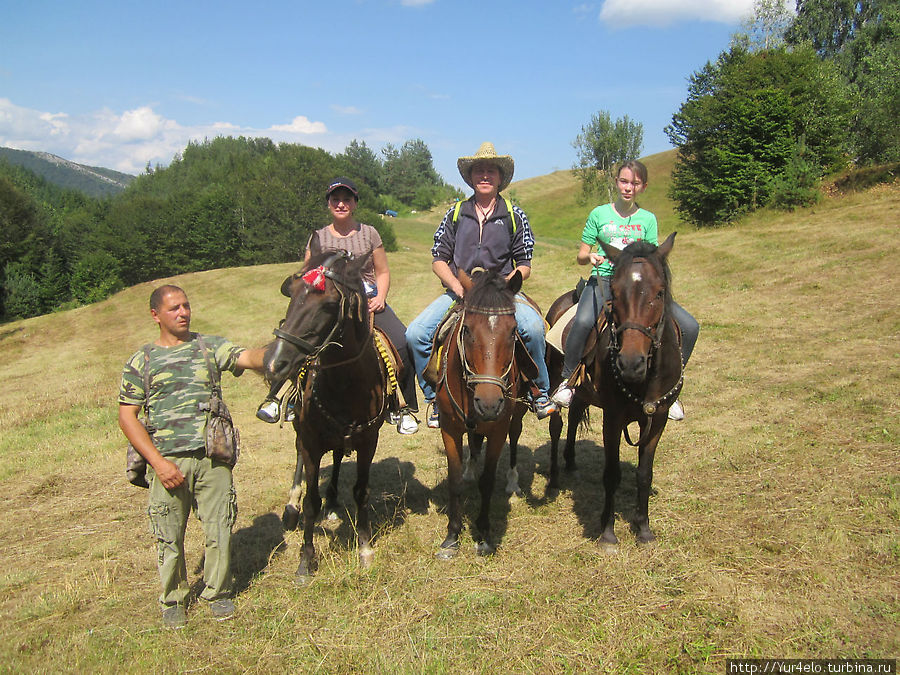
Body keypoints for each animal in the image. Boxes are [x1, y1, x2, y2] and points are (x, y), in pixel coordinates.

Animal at [260, 251, 386, 584]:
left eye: (329, 304)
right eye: (290, 293)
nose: (274, 363)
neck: (345, 384)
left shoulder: (368, 441)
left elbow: (361, 491)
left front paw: (365, 548)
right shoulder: (311, 443)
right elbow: (310, 501)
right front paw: (306, 560)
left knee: (339, 455)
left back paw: (332, 502)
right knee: (299, 464)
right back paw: (291, 507)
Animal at [432, 270, 532, 560]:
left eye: (513, 332)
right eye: (466, 330)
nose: (489, 404)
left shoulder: (498, 430)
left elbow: (487, 480)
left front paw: (484, 535)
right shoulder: (449, 429)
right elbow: (454, 480)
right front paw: (451, 537)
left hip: (516, 415)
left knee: (514, 437)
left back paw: (513, 482)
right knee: (474, 440)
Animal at [544, 235, 684, 548]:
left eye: (659, 293)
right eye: (616, 294)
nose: (630, 363)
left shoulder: (656, 420)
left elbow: (644, 474)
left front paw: (644, 529)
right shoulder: (613, 417)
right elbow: (612, 474)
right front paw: (607, 533)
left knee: (574, 418)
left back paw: (571, 462)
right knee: (557, 425)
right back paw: (554, 478)